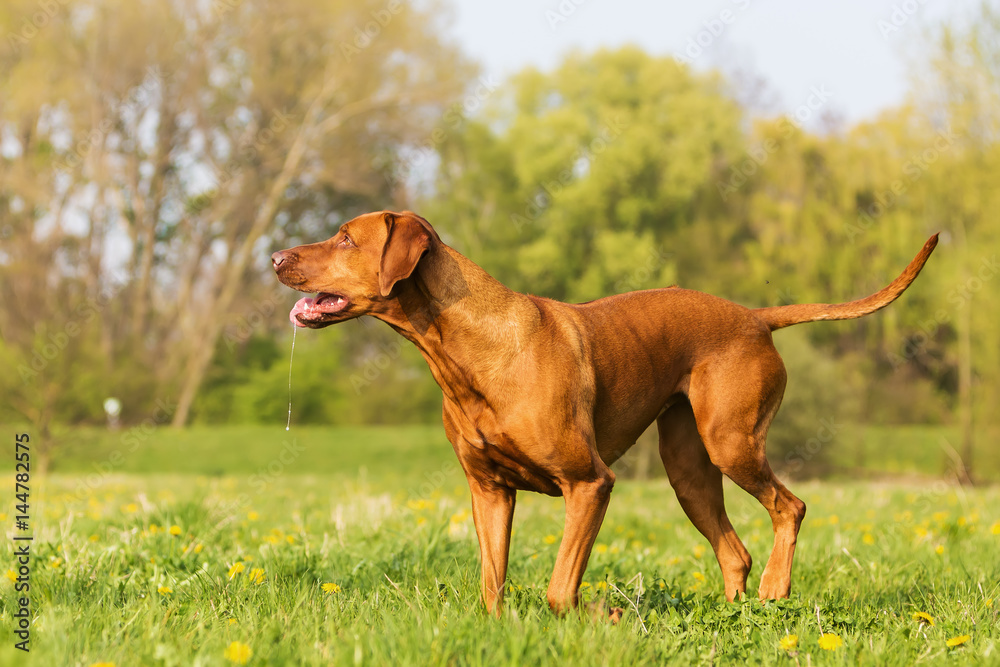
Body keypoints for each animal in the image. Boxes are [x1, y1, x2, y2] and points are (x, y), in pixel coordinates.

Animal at [270, 211, 932, 620]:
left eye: (345, 238)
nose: (275, 256)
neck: (469, 347)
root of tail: (754, 316)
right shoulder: (489, 491)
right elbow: (491, 583)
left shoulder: (590, 483)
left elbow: (560, 589)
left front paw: (603, 613)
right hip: (688, 470)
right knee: (733, 551)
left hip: (731, 442)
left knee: (789, 507)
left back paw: (775, 591)